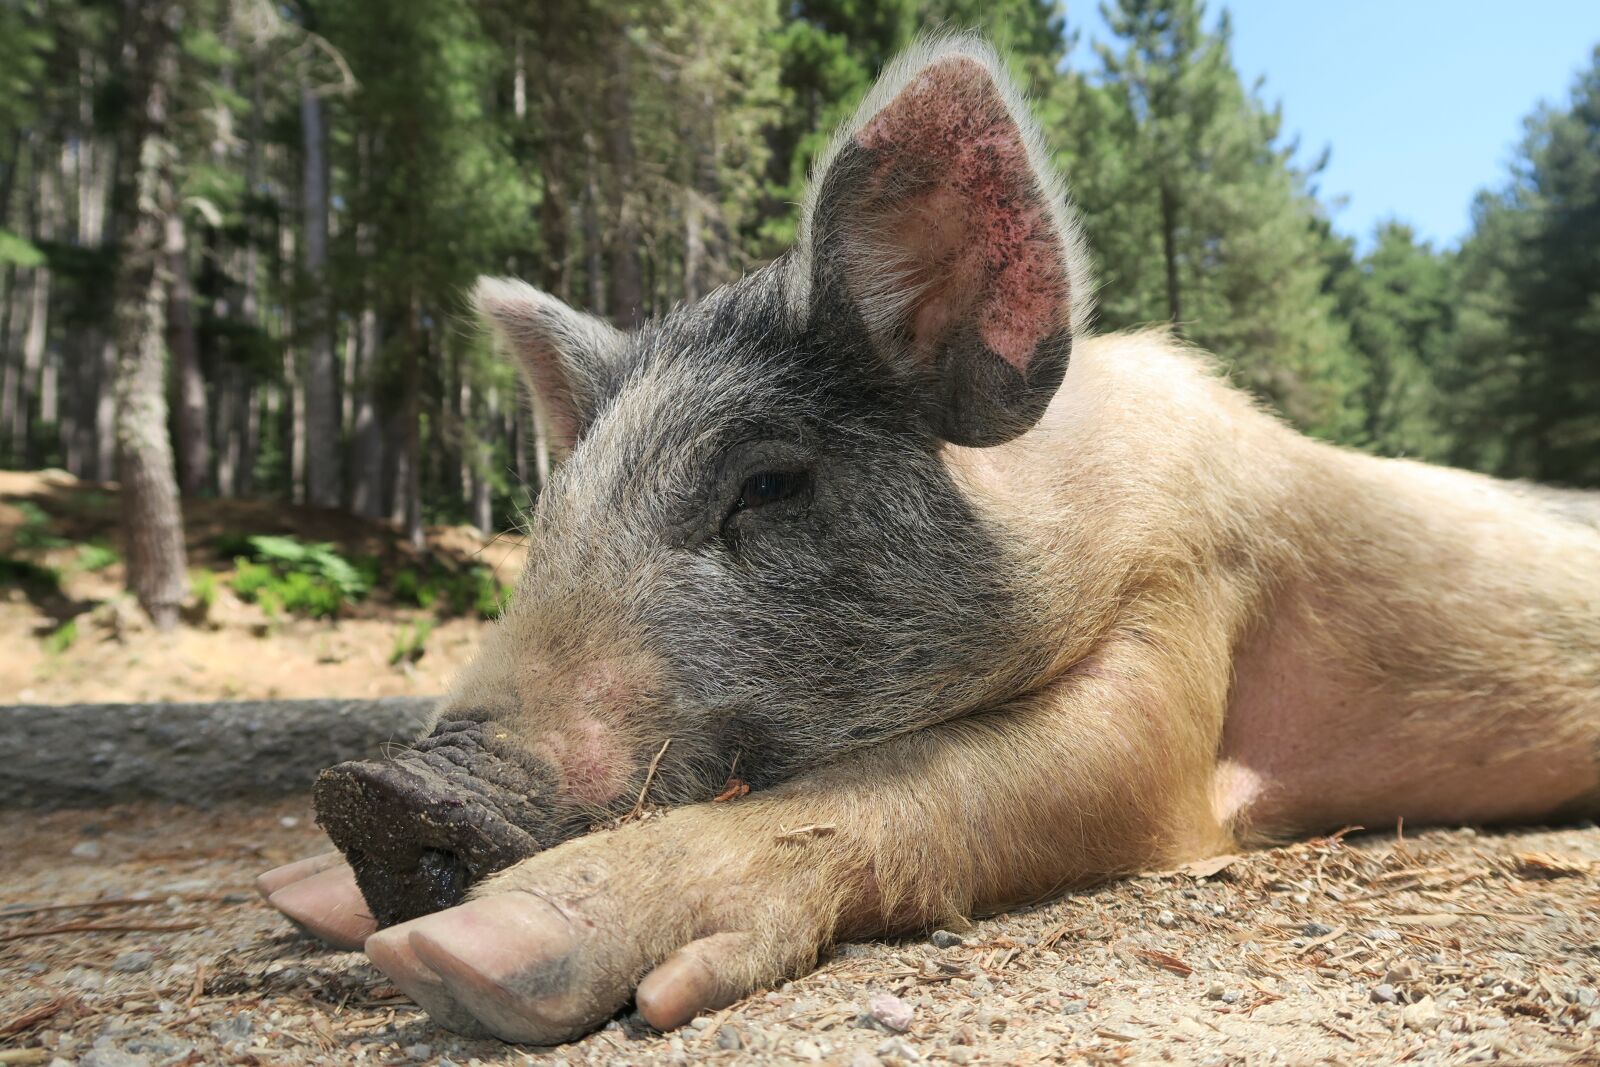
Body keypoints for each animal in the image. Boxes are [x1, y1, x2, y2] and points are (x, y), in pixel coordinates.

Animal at [260, 34, 1600, 1044]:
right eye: (553, 509)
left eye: (768, 483)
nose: (379, 790)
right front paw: (305, 897)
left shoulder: (1188, 615)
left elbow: (970, 773)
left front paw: (460, 954)